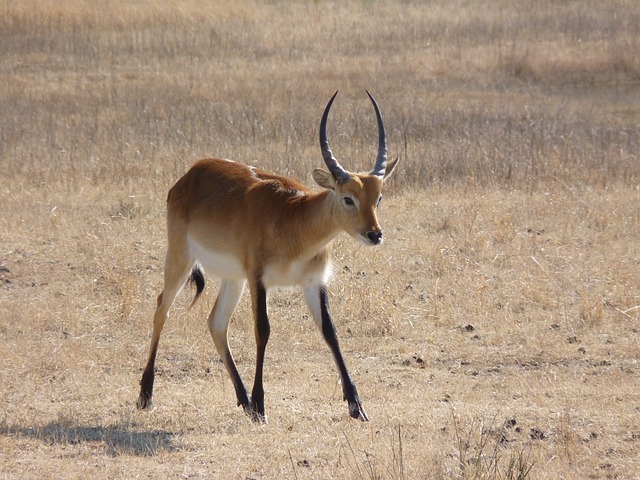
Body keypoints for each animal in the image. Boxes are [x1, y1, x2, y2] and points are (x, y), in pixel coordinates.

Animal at [137, 92, 398, 422]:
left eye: (379, 197)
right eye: (347, 198)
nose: (374, 234)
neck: (294, 222)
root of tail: (191, 173)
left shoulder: (315, 281)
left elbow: (330, 332)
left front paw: (356, 404)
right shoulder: (258, 278)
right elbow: (262, 330)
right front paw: (261, 404)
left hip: (233, 278)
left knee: (216, 322)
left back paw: (243, 400)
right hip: (181, 258)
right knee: (162, 309)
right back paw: (146, 395)